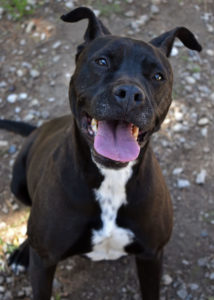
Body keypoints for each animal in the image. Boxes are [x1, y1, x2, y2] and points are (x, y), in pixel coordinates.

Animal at [0, 7, 201, 300]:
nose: (129, 93)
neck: (110, 179)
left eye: (157, 76)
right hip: (18, 185)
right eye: (102, 61)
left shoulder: (152, 256)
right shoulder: (45, 261)